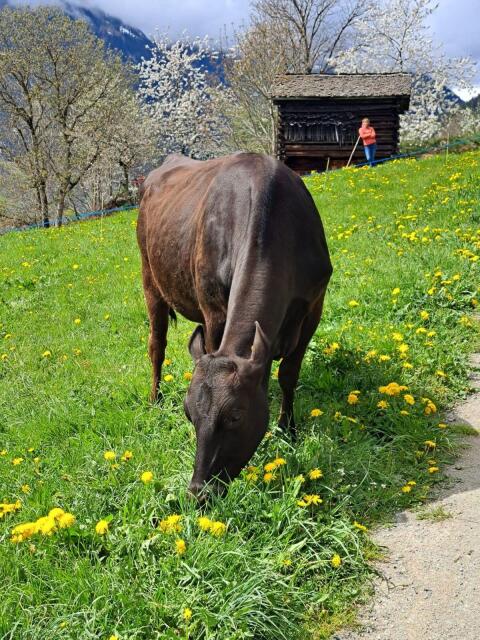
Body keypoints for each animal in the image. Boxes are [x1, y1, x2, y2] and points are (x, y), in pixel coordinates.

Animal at [137, 152, 332, 499]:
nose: (198, 491)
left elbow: (288, 375)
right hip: (150, 279)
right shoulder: (214, 310)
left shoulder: (314, 305)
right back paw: (155, 399)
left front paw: (287, 429)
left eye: (236, 415)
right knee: (156, 346)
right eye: (188, 412)